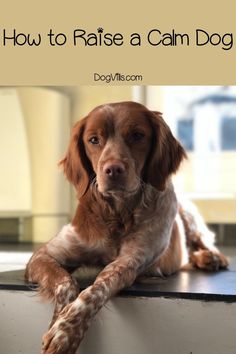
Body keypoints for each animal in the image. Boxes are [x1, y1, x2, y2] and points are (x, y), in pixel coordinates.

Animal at [24, 101, 228, 354]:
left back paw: (210, 258)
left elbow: (96, 288)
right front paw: (57, 321)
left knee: (204, 243)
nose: (113, 169)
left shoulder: (131, 260)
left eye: (137, 135)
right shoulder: (43, 255)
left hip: (188, 214)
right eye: (93, 140)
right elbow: (65, 282)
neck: (117, 214)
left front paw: (65, 332)